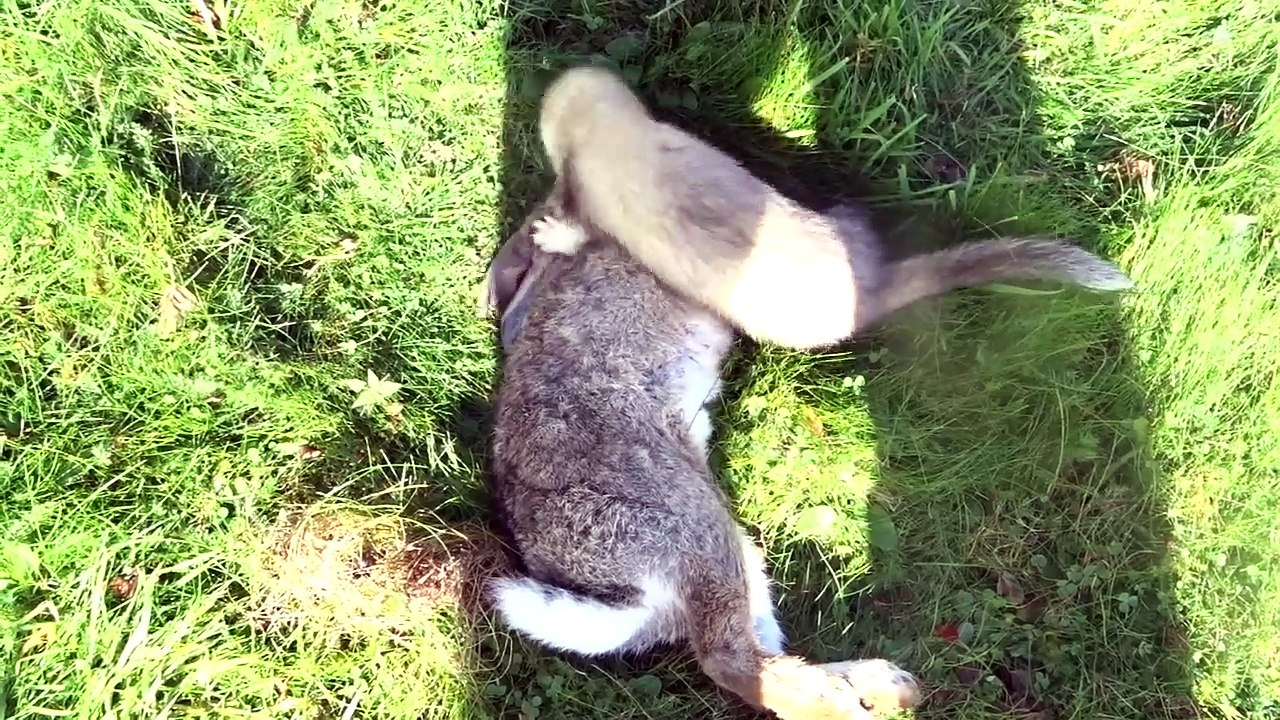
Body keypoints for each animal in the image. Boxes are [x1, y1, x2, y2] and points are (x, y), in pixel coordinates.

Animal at [477, 198, 922, 719]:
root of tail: (628, 601)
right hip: (693, 531)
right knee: (733, 661)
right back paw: (856, 701)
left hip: (731, 553)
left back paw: (881, 683)